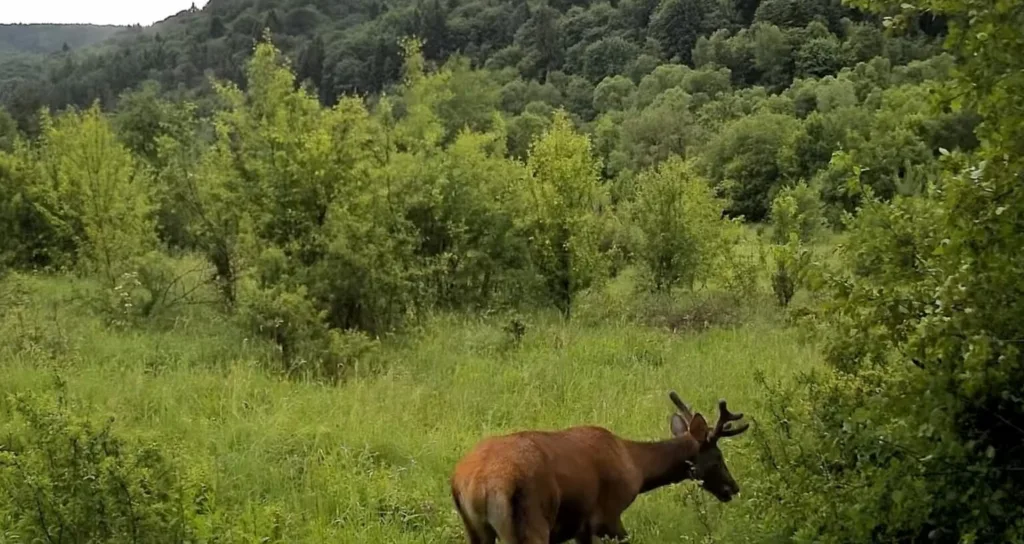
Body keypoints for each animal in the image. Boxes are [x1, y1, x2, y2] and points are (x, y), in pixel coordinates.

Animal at [450, 391, 750, 543]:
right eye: (718, 457)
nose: (733, 487)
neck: (636, 467)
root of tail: (477, 484)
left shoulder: (581, 528)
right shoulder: (607, 515)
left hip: (475, 529)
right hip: (529, 522)